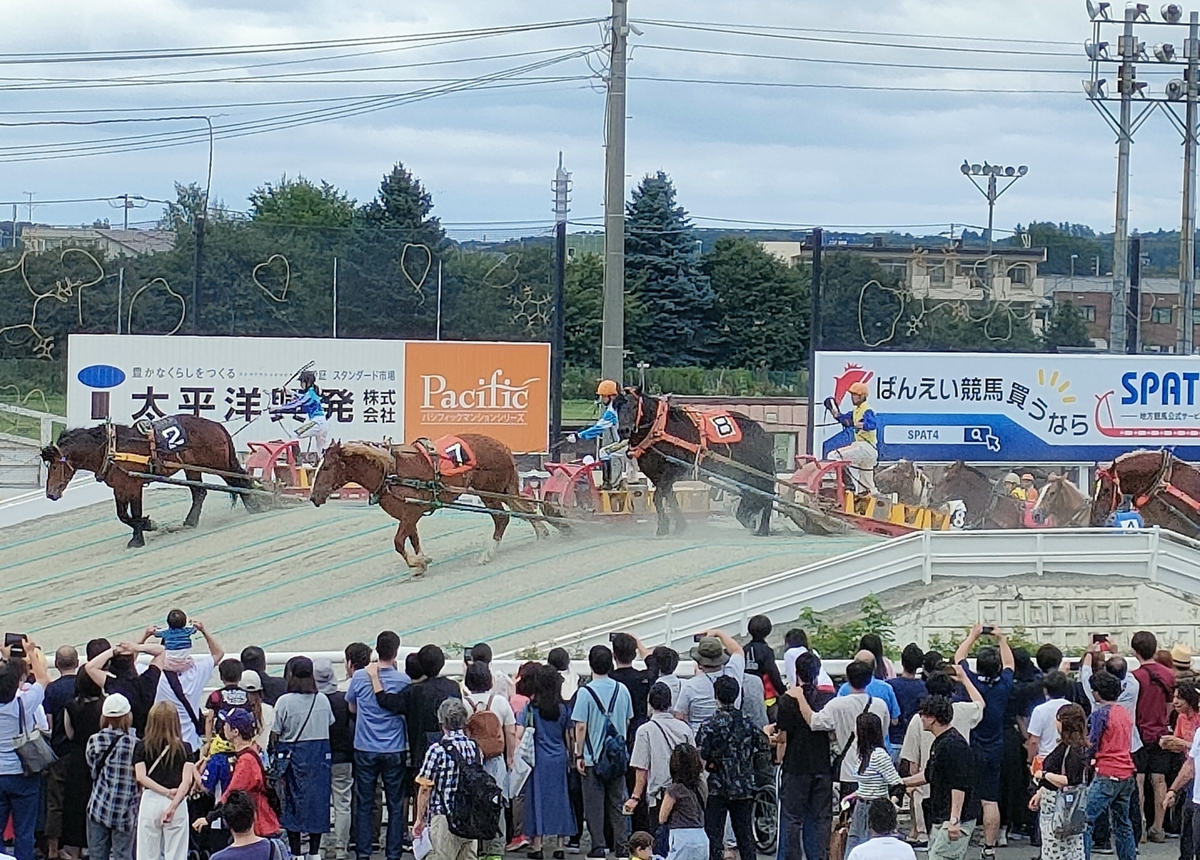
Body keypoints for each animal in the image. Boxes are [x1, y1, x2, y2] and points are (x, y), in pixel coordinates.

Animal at [39, 417, 260, 549]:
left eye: (55, 466)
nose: (50, 493)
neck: (111, 449)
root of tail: (216, 425)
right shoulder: (119, 488)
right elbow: (123, 516)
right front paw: (147, 525)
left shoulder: (134, 485)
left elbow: (135, 513)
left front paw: (139, 536)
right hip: (193, 467)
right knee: (200, 493)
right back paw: (191, 521)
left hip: (217, 463)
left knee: (238, 481)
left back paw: (255, 505)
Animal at [307, 431, 554, 573]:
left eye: (327, 467)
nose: (313, 497)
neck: (391, 471)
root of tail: (504, 448)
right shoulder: (408, 515)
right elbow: (413, 539)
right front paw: (421, 559)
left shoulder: (411, 513)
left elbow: (398, 542)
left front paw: (417, 563)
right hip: (499, 490)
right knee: (522, 510)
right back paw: (541, 531)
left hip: (490, 492)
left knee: (502, 518)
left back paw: (488, 554)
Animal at [614, 391, 772, 537]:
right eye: (616, 407)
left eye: (635, 405)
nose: (623, 430)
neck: (658, 430)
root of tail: (761, 430)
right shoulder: (657, 476)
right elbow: (669, 498)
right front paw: (677, 524)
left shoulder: (674, 470)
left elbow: (658, 497)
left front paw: (665, 526)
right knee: (753, 495)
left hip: (758, 471)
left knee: (767, 495)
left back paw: (762, 528)